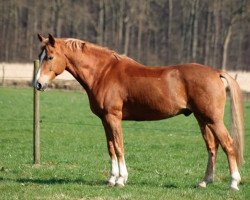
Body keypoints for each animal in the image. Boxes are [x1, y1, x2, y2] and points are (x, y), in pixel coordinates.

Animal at [34, 34, 243, 191]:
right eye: (40, 56)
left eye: (50, 57)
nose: (38, 84)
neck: (103, 73)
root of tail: (215, 72)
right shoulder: (105, 120)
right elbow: (111, 147)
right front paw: (111, 179)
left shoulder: (114, 117)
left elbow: (119, 147)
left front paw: (121, 179)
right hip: (202, 119)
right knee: (212, 147)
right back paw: (204, 182)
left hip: (213, 119)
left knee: (228, 144)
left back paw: (233, 183)